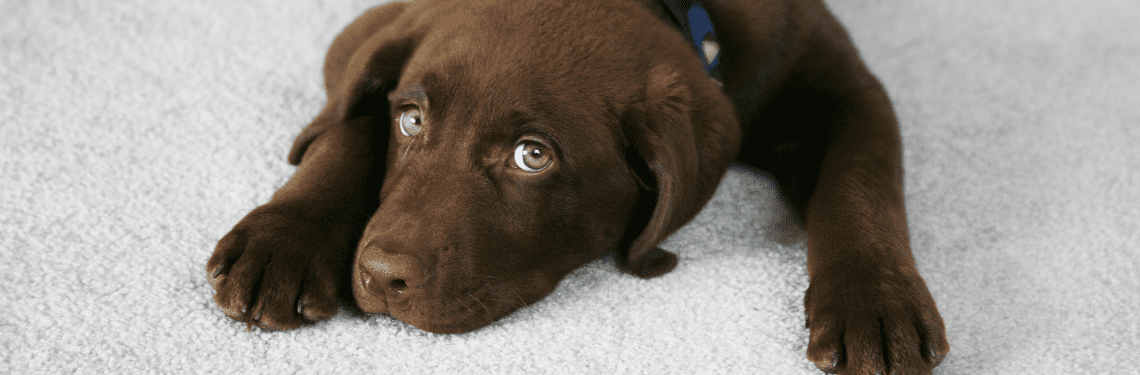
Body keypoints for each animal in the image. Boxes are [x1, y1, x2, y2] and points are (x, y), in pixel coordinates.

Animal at [209, 0, 948, 371]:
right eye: (412, 119)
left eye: (533, 156)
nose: (382, 275)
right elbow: (347, 117)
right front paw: (283, 240)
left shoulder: (844, 82)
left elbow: (861, 184)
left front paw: (875, 303)